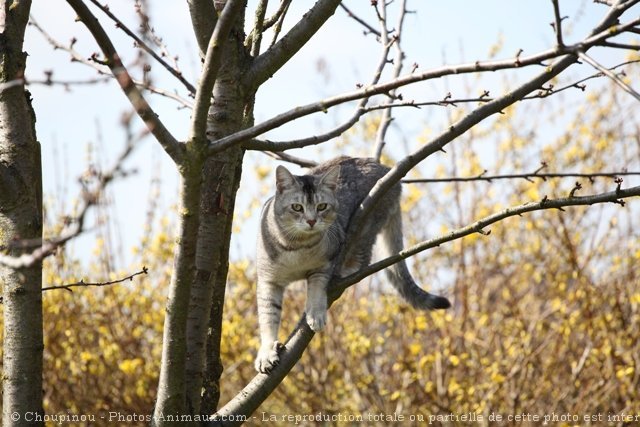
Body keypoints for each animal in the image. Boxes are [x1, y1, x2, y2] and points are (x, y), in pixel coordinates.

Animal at [255, 157, 450, 374]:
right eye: (297, 207)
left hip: (367, 225)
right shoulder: (268, 280)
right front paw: (267, 352)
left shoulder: (324, 266)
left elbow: (316, 289)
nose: (312, 221)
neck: (297, 247)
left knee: (362, 258)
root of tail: (385, 168)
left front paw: (315, 314)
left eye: (322, 206)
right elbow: (268, 316)